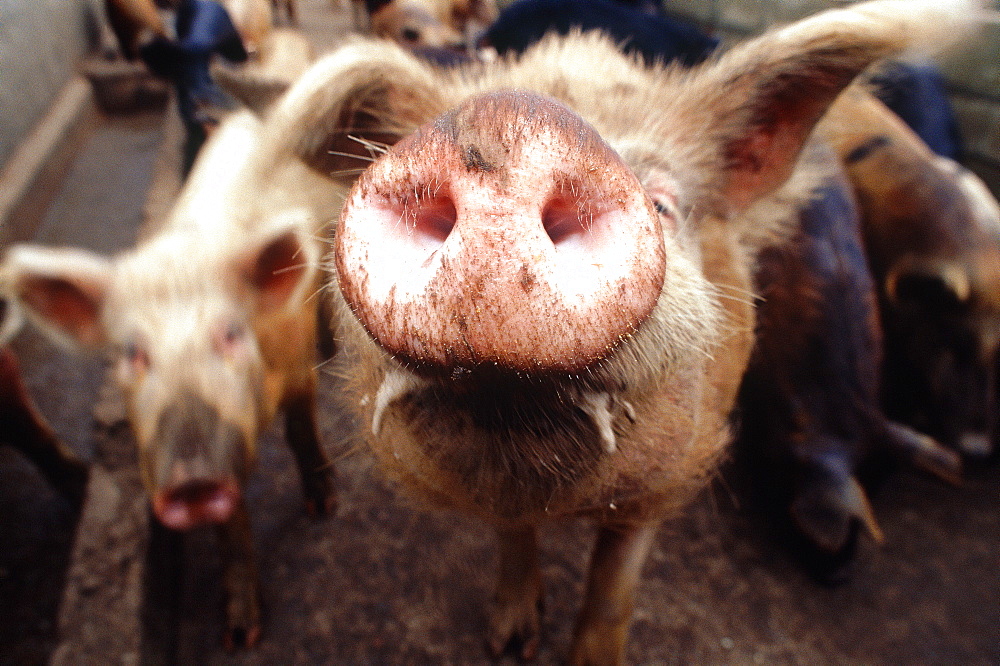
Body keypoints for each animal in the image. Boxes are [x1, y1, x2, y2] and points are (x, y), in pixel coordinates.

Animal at [0, 110, 340, 648]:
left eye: (231, 333)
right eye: (132, 352)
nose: (191, 482)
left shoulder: (296, 369)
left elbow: (302, 429)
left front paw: (324, 506)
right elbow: (231, 522)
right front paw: (240, 636)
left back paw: (331, 350)